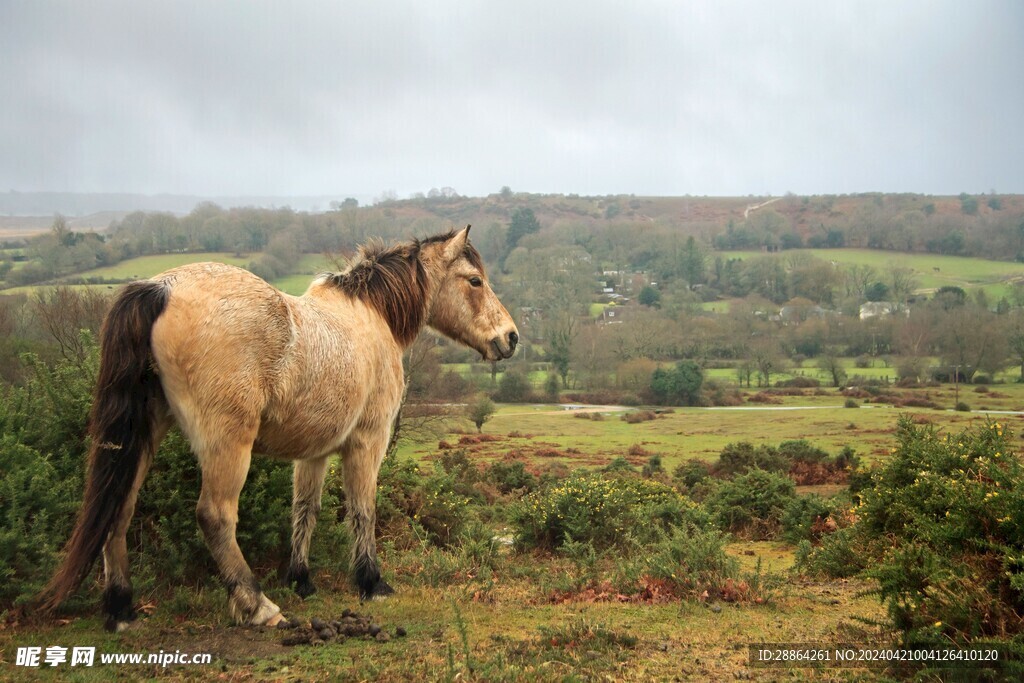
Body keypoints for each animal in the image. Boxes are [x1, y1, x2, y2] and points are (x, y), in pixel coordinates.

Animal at [39, 228, 520, 630]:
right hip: (227, 444)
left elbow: (305, 509)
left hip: (144, 434)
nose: (511, 338)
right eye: (474, 281)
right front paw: (371, 582)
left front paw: (301, 579)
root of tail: (162, 288)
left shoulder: (315, 452)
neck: (371, 317)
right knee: (214, 515)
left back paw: (122, 609)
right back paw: (258, 606)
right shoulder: (367, 441)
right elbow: (363, 509)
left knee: (119, 509)